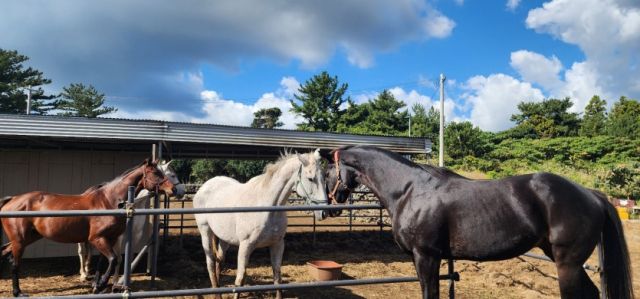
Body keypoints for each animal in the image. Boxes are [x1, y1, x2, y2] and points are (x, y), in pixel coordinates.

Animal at [0, 159, 175, 298]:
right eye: (156, 173)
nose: (172, 189)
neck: (108, 201)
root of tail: (12, 200)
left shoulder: (108, 239)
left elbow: (103, 262)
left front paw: (97, 286)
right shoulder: (97, 239)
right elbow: (113, 259)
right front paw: (101, 284)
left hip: (28, 238)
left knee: (5, 253)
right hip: (20, 241)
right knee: (15, 264)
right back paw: (18, 293)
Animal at [194, 150, 324, 299]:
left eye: (324, 177)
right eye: (310, 178)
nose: (324, 212)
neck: (268, 206)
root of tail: (205, 186)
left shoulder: (277, 244)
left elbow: (277, 276)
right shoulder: (245, 246)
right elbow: (240, 279)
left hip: (224, 238)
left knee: (219, 261)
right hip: (205, 231)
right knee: (210, 262)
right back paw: (216, 293)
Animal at [328, 146, 632, 299]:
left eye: (327, 169)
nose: (333, 203)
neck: (409, 189)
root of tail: (591, 194)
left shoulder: (426, 256)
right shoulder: (426, 258)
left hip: (567, 264)